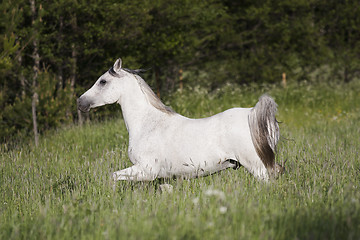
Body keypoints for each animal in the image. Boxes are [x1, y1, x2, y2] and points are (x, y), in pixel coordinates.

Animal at [76, 58, 284, 182]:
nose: (80, 102)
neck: (148, 124)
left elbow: (113, 177)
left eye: (103, 81)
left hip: (257, 167)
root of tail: (253, 114)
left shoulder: (146, 170)